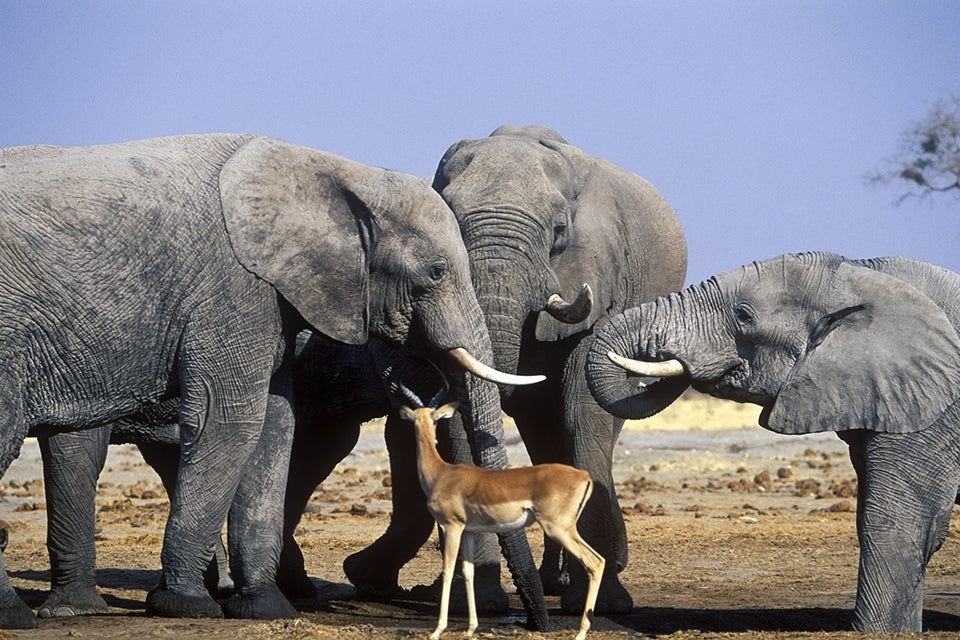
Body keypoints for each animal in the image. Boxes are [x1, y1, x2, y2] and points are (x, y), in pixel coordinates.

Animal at [0, 134, 545, 629]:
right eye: (435, 271)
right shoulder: (233, 287)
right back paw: (23, 614)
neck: (339, 173)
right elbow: (232, 422)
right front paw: (187, 606)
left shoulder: (274, 296)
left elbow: (275, 426)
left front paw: (263, 608)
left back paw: (68, 610)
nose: (533, 623)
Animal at [338, 124, 687, 615]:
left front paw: (608, 604)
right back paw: (550, 580)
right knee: (541, 431)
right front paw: (482, 600)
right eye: (452, 224)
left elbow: (582, 411)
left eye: (559, 229)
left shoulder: (602, 276)